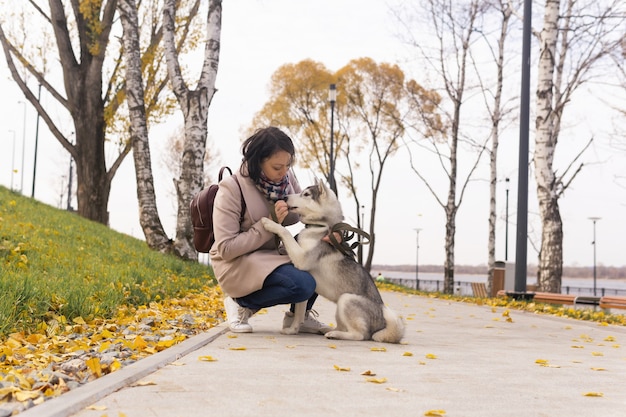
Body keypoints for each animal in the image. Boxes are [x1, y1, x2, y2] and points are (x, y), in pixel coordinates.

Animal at [260, 180, 402, 342]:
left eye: (306, 194)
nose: (284, 197)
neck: (319, 227)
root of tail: (382, 323)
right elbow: (299, 314)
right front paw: (292, 330)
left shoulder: (302, 259)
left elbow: (286, 232)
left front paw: (270, 223)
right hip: (340, 307)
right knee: (344, 326)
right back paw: (329, 329)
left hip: (346, 299)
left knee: (360, 335)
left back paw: (335, 334)